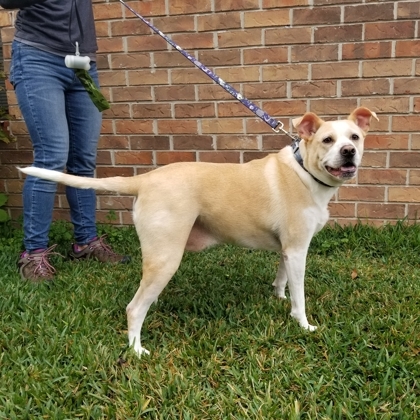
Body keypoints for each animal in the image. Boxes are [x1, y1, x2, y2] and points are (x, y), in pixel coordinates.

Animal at [18, 106, 378, 356]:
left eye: (355, 137)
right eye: (327, 140)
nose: (349, 152)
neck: (305, 171)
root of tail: (144, 180)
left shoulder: (288, 250)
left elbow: (282, 279)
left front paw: (278, 297)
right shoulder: (299, 250)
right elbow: (300, 296)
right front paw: (303, 324)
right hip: (166, 257)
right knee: (134, 308)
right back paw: (136, 350)